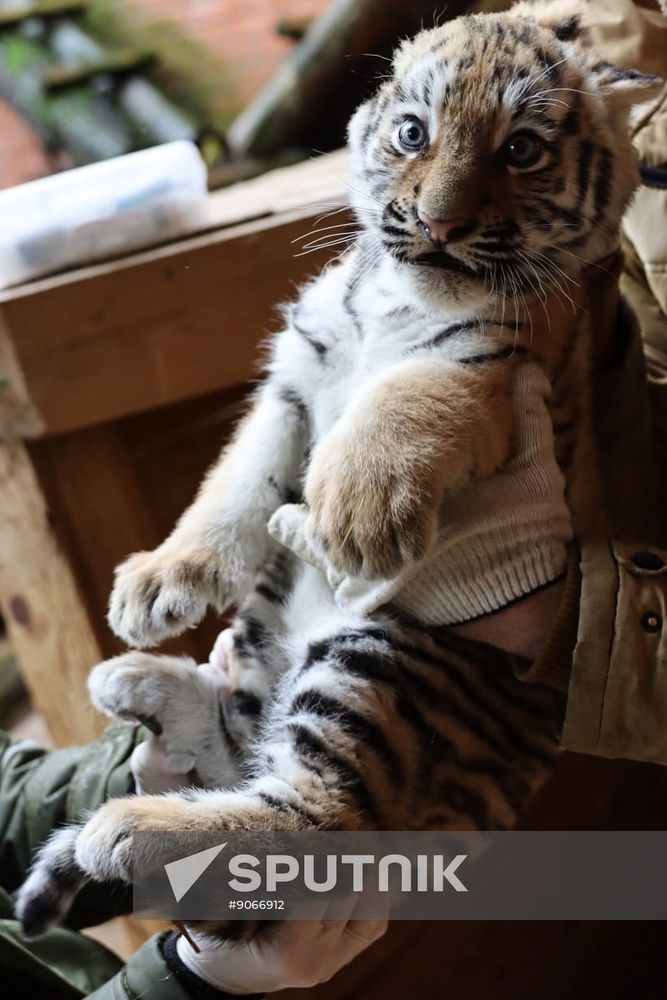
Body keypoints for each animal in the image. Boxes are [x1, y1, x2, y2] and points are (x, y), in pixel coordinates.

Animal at [16, 0, 662, 939]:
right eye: (412, 132)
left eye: (520, 149)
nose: (437, 223)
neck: (393, 297)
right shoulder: (293, 377)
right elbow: (234, 483)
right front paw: (158, 582)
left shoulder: (493, 367)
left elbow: (403, 400)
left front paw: (352, 517)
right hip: (274, 624)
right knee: (244, 740)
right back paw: (139, 682)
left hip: (383, 656)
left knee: (317, 819)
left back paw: (130, 828)